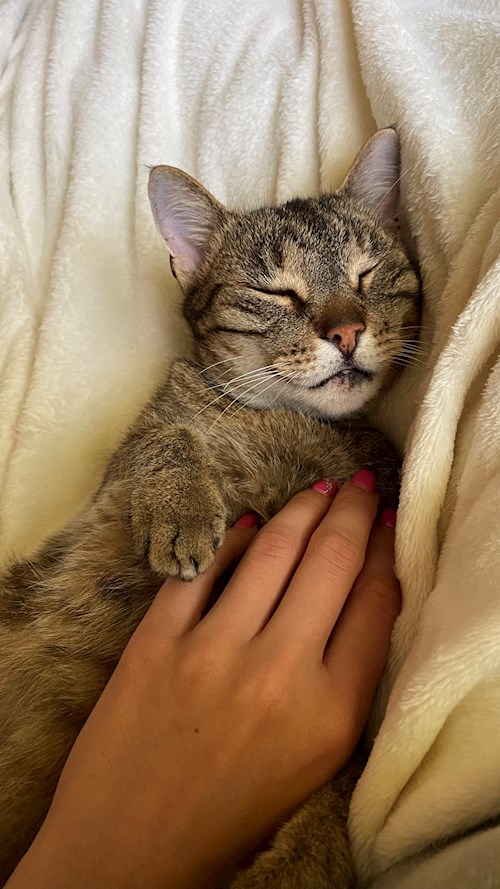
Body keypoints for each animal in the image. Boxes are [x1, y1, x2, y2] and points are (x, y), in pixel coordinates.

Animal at [0, 128, 420, 886]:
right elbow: (168, 438)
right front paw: (185, 516)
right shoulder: (124, 465)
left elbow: (341, 790)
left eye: (367, 274)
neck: (298, 424)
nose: (346, 331)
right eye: (275, 291)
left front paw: (298, 864)